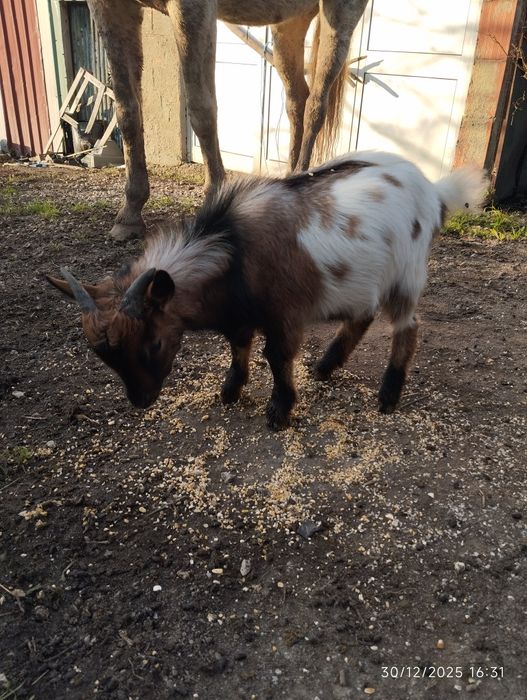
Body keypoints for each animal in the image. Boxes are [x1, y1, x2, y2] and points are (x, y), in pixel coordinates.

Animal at [47, 152, 487, 430]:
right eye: (105, 357)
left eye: (153, 343)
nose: (141, 399)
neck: (233, 247)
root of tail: (434, 191)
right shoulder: (241, 316)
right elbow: (239, 348)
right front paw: (230, 390)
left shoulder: (284, 317)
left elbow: (276, 358)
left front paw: (279, 412)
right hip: (365, 280)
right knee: (362, 317)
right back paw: (325, 367)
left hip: (406, 276)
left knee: (406, 328)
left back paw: (388, 395)